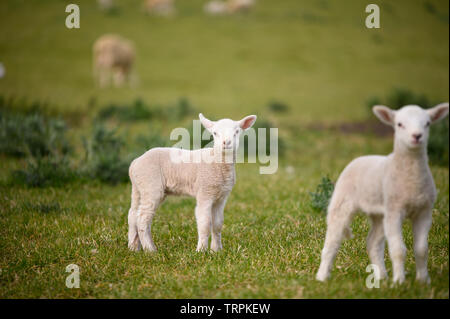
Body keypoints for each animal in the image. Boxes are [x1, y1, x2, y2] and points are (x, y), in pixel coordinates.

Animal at [128, 113, 258, 252]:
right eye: (215, 133)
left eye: (237, 131)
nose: (226, 142)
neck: (217, 162)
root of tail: (135, 162)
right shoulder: (205, 192)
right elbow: (205, 223)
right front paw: (201, 250)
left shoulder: (221, 197)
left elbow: (218, 224)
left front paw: (216, 250)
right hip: (151, 185)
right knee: (142, 218)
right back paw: (150, 249)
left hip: (139, 187)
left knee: (132, 214)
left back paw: (133, 247)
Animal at [316, 102, 450, 284]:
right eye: (399, 124)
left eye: (427, 123)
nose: (417, 136)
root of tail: (361, 157)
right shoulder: (394, 210)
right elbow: (398, 249)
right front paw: (399, 282)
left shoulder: (424, 211)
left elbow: (422, 249)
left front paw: (423, 281)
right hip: (342, 201)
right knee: (332, 241)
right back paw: (322, 276)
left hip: (379, 213)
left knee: (373, 242)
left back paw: (381, 277)